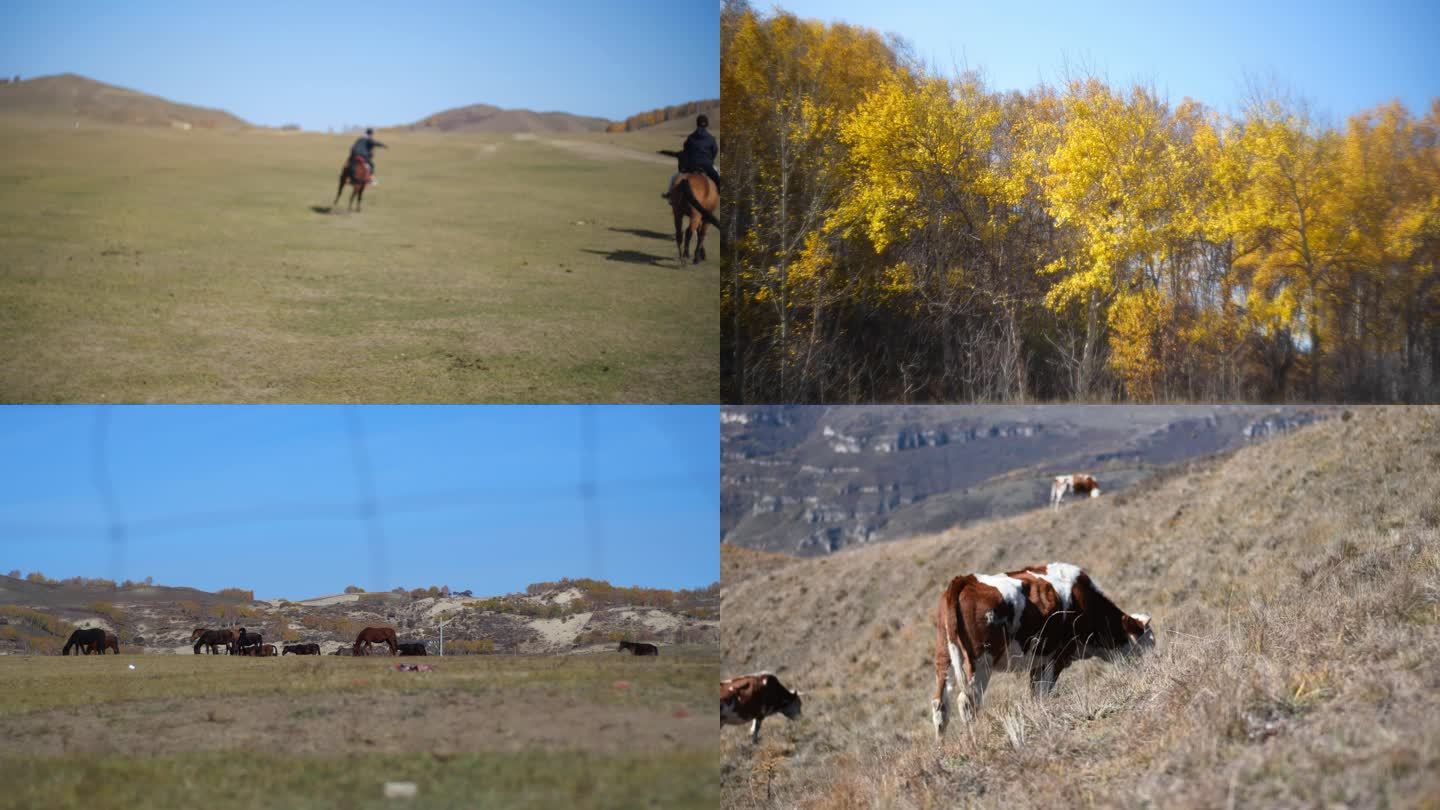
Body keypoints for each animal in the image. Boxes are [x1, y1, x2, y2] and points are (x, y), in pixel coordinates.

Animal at [927, 562, 1152, 737]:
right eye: (1144, 646)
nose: (1150, 670)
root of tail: (964, 581)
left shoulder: (1039, 661)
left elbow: (1035, 694)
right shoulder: (1056, 657)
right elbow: (1042, 693)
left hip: (943, 658)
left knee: (940, 706)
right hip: (981, 660)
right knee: (967, 702)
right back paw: (974, 740)